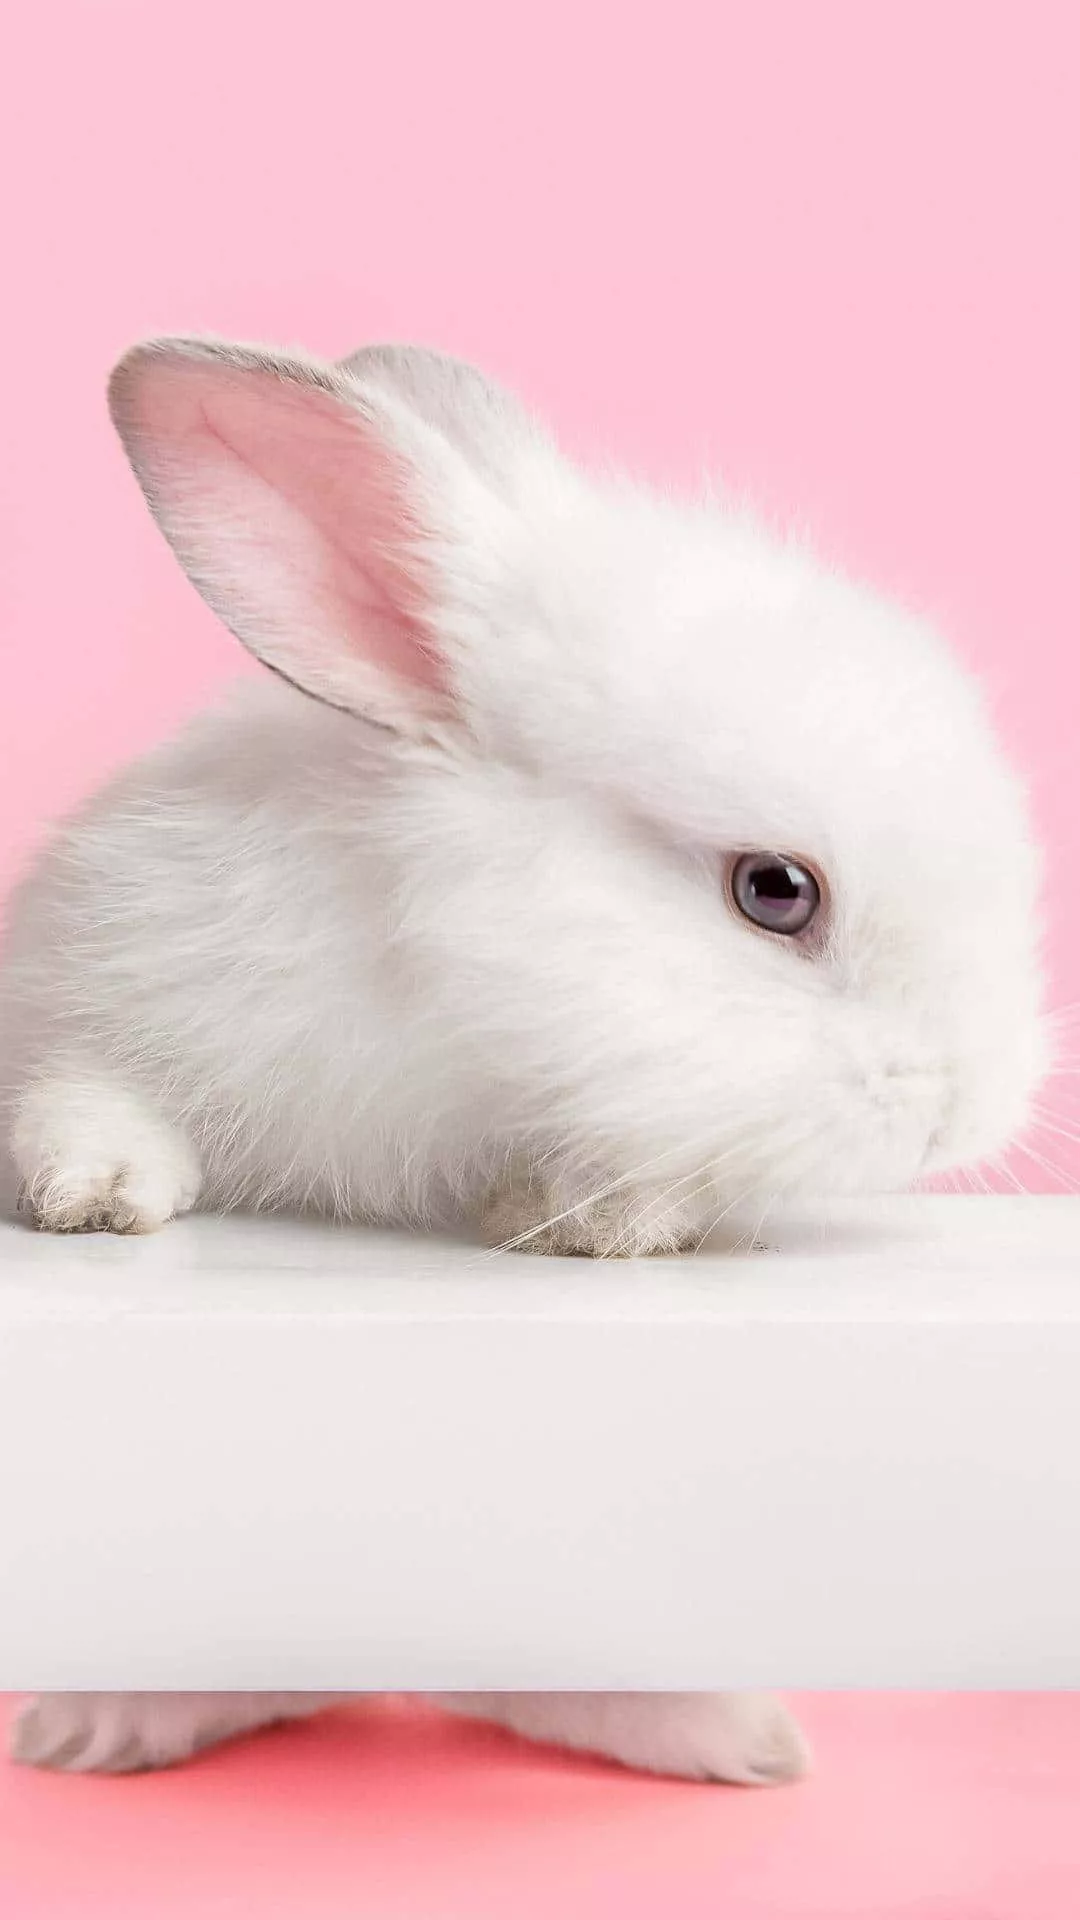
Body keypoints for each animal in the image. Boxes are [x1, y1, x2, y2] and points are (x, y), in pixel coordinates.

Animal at [0, 334, 1048, 1781]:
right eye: (775, 891)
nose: (969, 1106)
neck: (457, 1026)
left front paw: (592, 1218)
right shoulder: (80, 989)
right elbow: (81, 1099)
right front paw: (97, 1199)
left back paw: (737, 1742)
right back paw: (98, 1727)